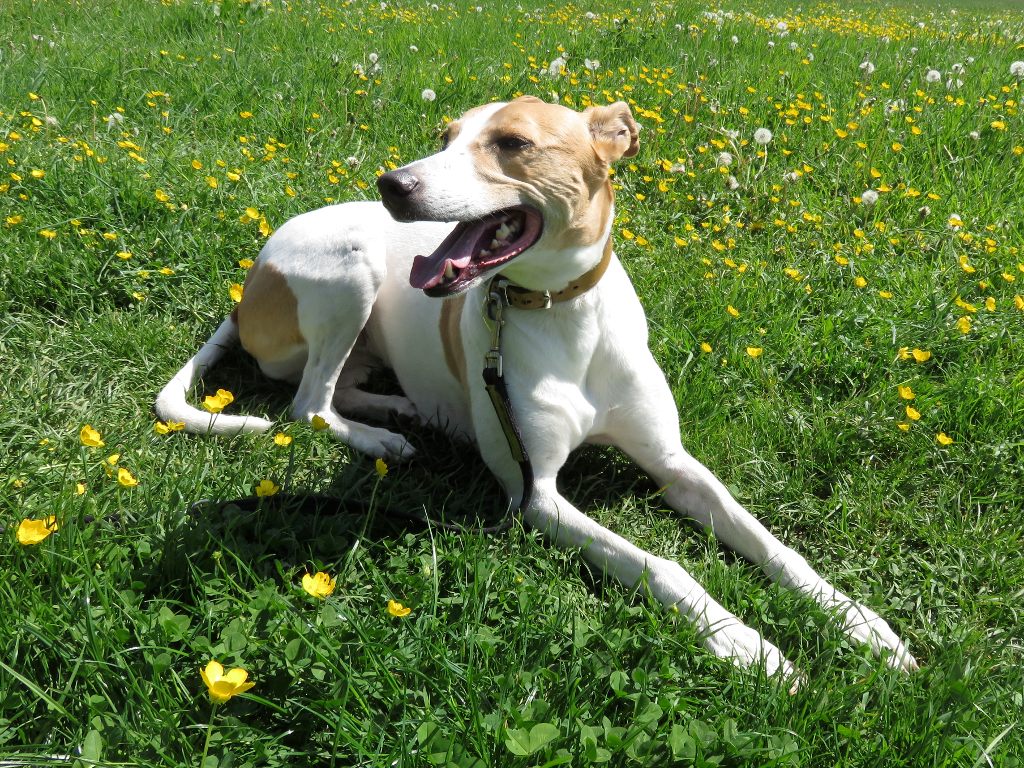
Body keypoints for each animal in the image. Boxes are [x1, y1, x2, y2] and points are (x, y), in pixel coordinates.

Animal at [155, 97, 917, 684]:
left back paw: (406, 411)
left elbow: (770, 543)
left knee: (343, 387)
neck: (561, 316)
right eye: (445, 136)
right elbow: (665, 567)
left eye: (513, 143)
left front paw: (862, 623)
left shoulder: (675, 466)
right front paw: (748, 644)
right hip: (350, 270)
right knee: (309, 402)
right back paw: (383, 437)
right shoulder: (537, 495)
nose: (392, 183)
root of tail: (247, 287)